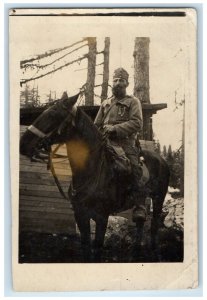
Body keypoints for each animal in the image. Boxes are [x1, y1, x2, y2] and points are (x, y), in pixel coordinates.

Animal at [20, 92, 170, 262]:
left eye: (53, 115)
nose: (23, 144)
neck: (91, 171)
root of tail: (161, 159)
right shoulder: (80, 215)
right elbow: (86, 246)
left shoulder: (102, 217)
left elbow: (97, 247)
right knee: (140, 223)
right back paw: (136, 253)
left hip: (158, 198)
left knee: (154, 225)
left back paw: (155, 253)